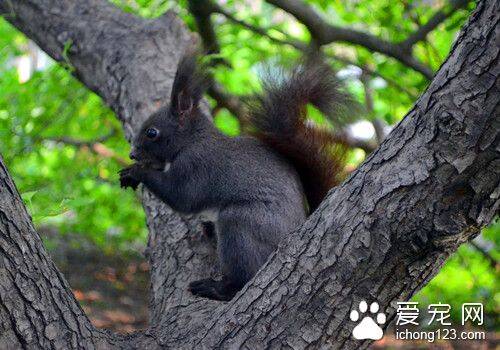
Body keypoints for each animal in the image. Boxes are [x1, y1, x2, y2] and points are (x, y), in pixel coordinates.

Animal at [119, 54, 350, 300]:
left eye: (152, 132)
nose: (132, 154)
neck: (192, 140)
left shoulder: (196, 166)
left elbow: (182, 197)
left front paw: (135, 171)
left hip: (241, 224)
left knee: (242, 277)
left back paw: (216, 288)